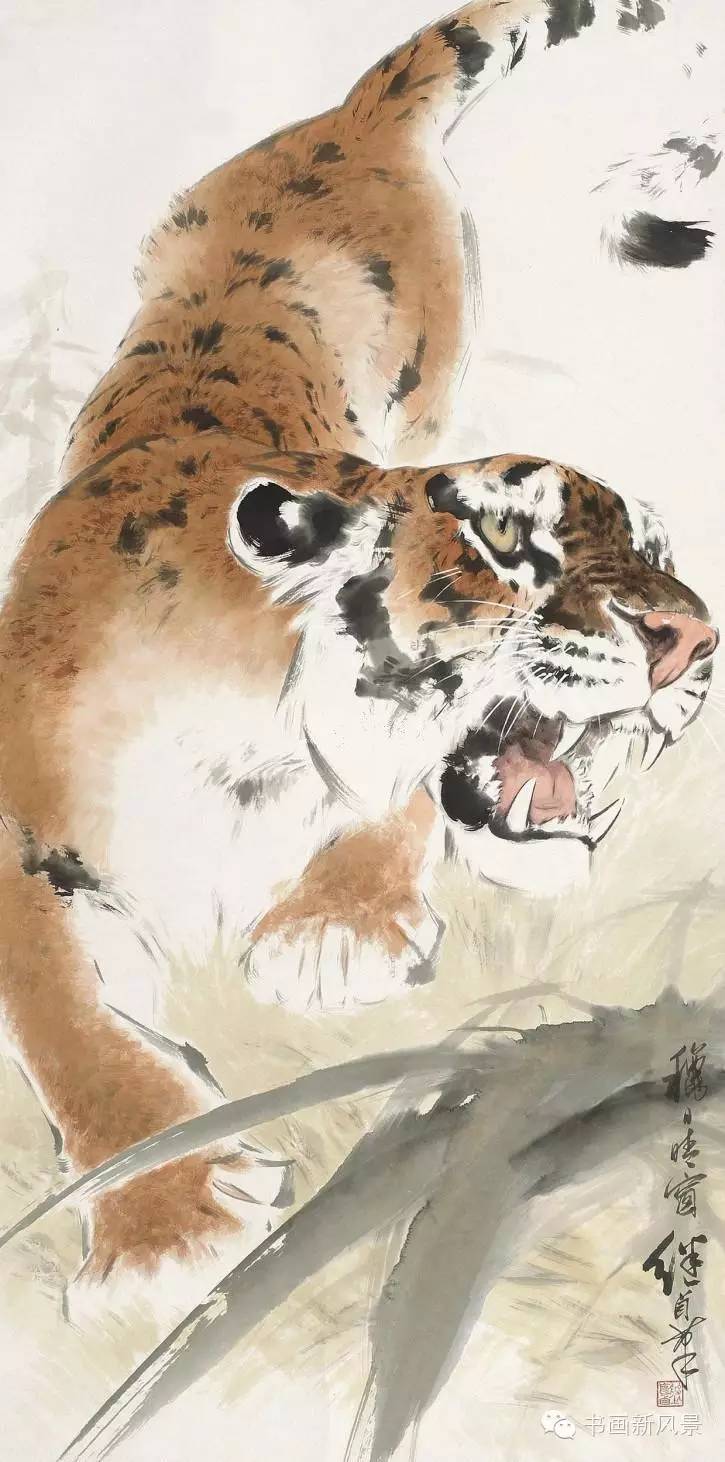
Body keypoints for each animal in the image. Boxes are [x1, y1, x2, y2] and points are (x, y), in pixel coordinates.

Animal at [0, 0, 718, 1300]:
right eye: (506, 537)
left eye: (652, 548)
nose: (692, 637)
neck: (253, 736)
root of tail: (347, 119)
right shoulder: (13, 835)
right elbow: (65, 1023)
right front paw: (169, 1227)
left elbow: (399, 808)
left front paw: (333, 935)